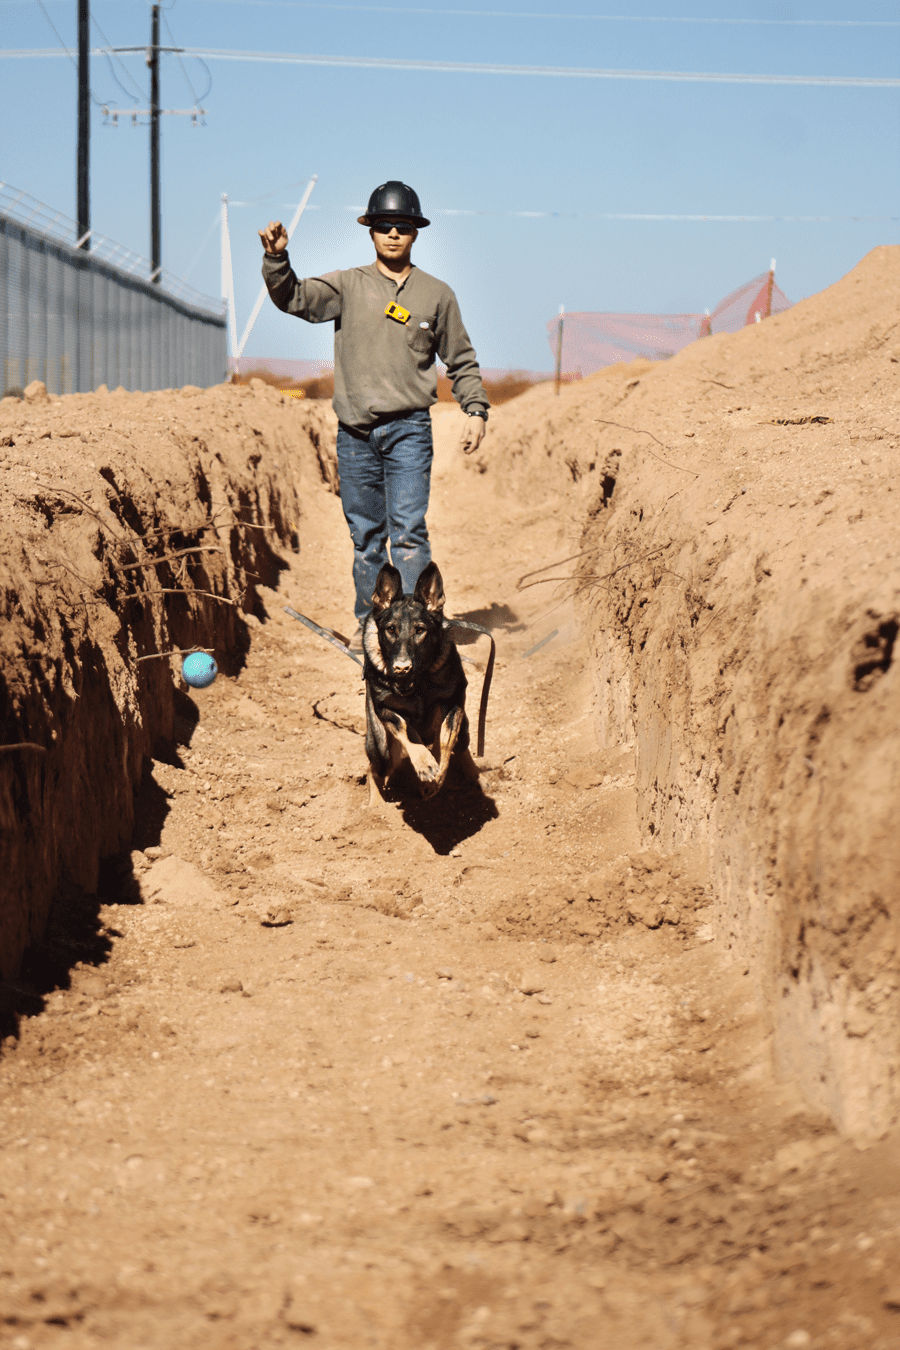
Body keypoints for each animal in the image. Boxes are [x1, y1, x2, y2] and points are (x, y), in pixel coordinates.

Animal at [361, 561, 483, 804]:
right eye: (391, 629)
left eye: (420, 630)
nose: (402, 668)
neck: (419, 685)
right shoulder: (385, 708)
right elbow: (407, 729)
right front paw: (425, 765)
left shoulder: (454, 700)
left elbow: (445, 740)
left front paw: (435, 778)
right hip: (380, 746)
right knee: (374, 768)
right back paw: (375, 806)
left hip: (464, 723)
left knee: (461, 746)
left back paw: (475, 776)